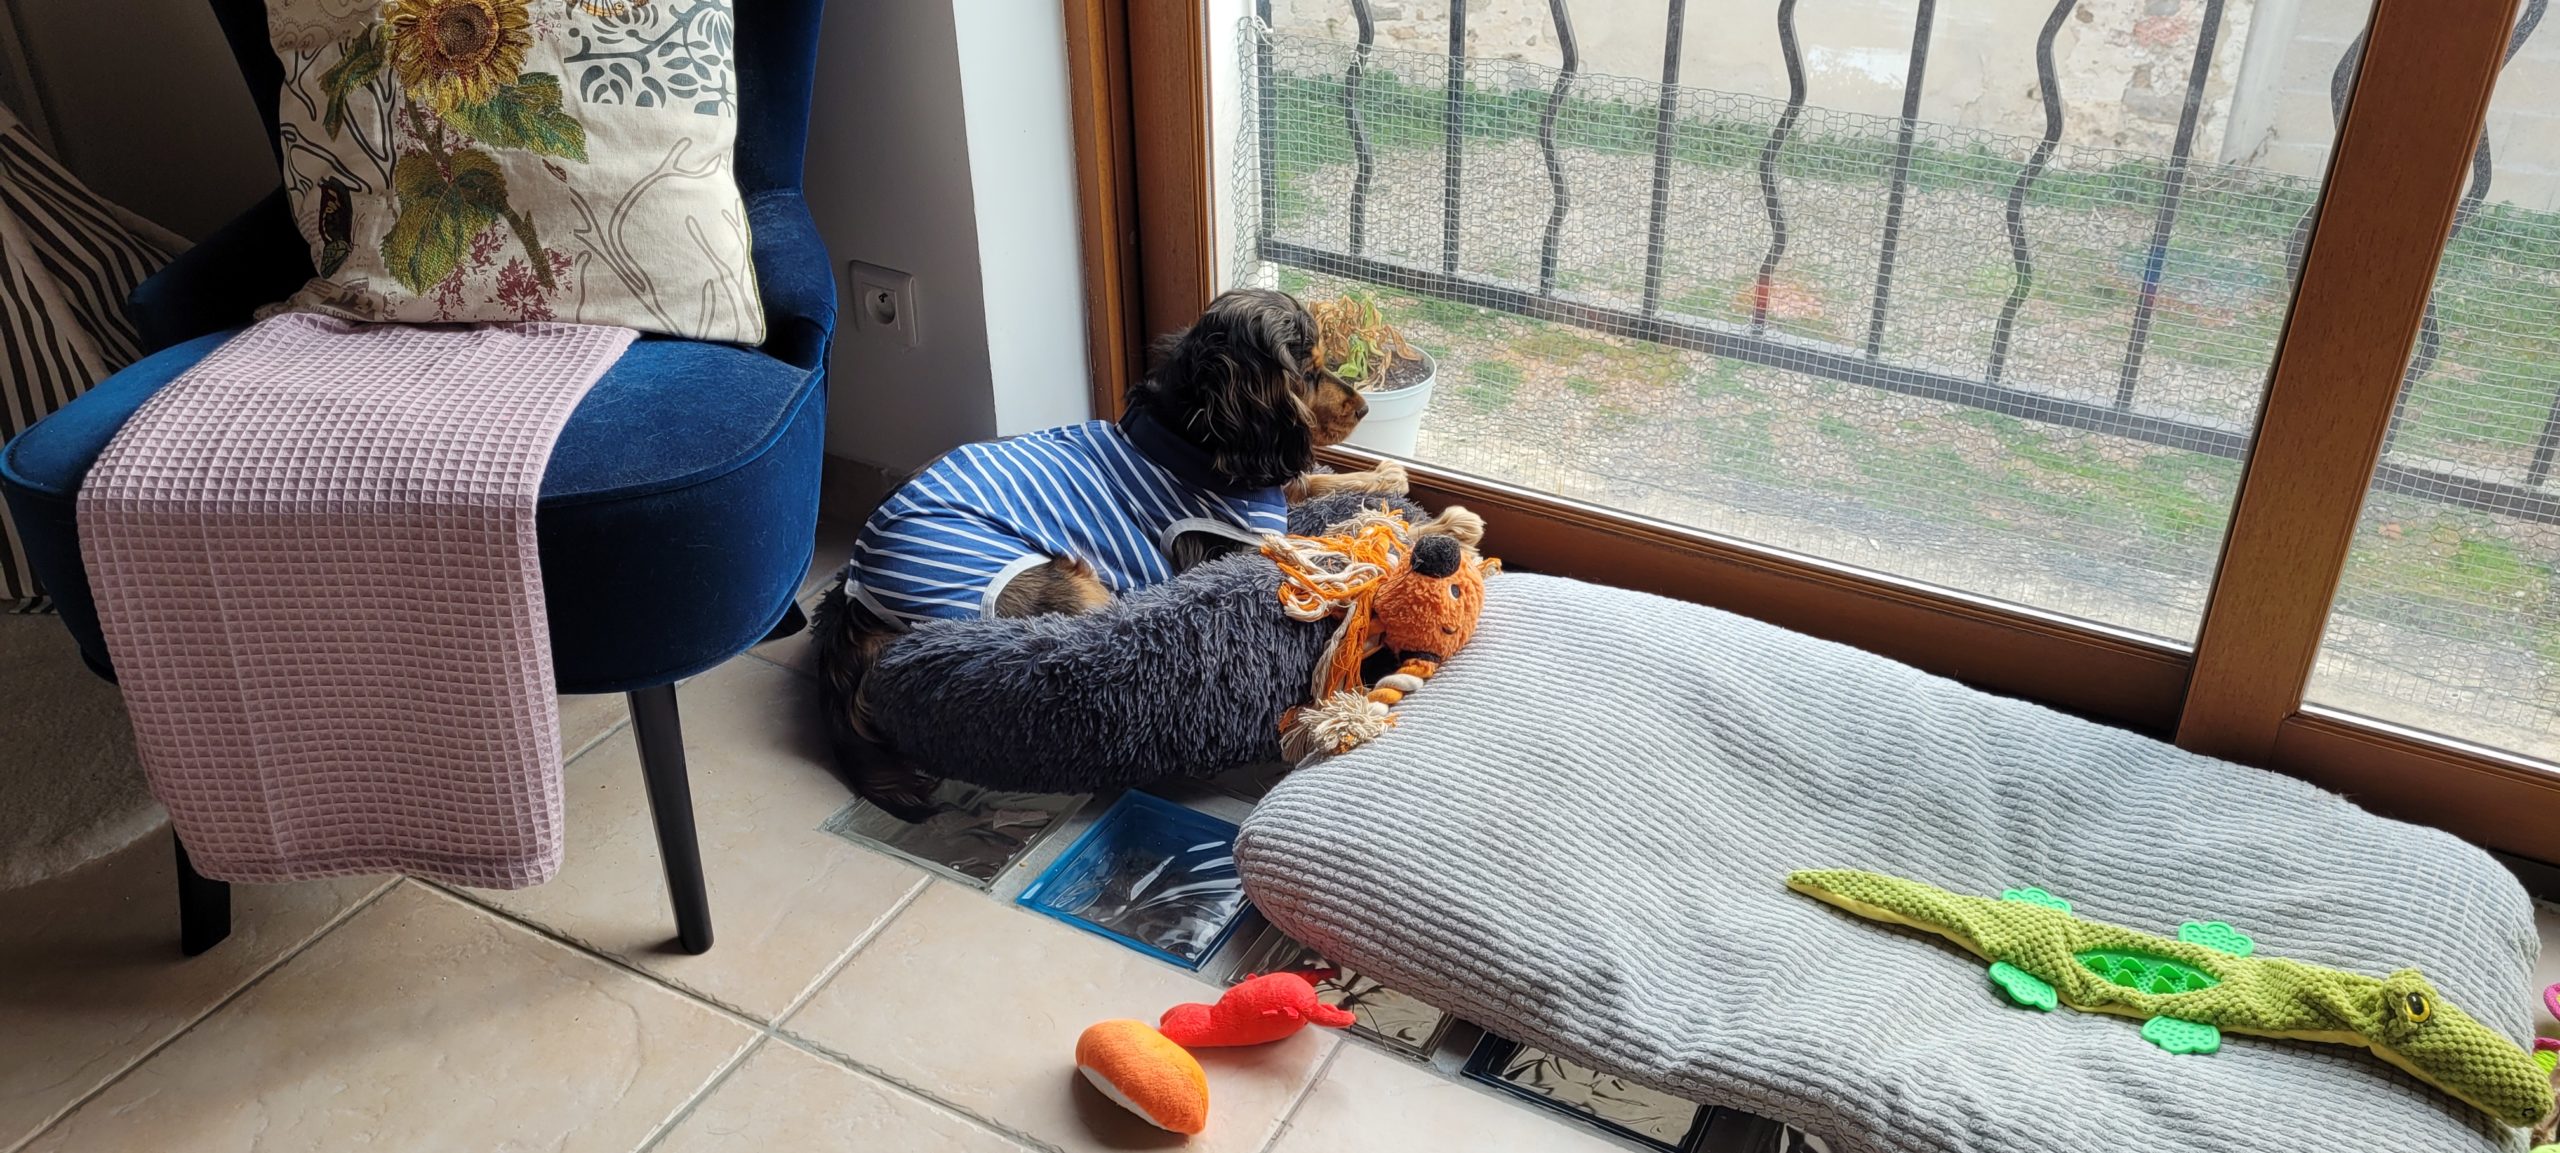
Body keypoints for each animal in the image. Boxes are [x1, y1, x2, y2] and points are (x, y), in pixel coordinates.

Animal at [808, 288, 1474, 819]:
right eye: (1305, 369)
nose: (1363, 407)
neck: (1193, 435)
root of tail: (853, 599)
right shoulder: (1236, 543)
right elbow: (1335, 539)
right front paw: (1441, 530)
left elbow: (1312, 484)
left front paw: (1390, 479)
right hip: (1056, 580)